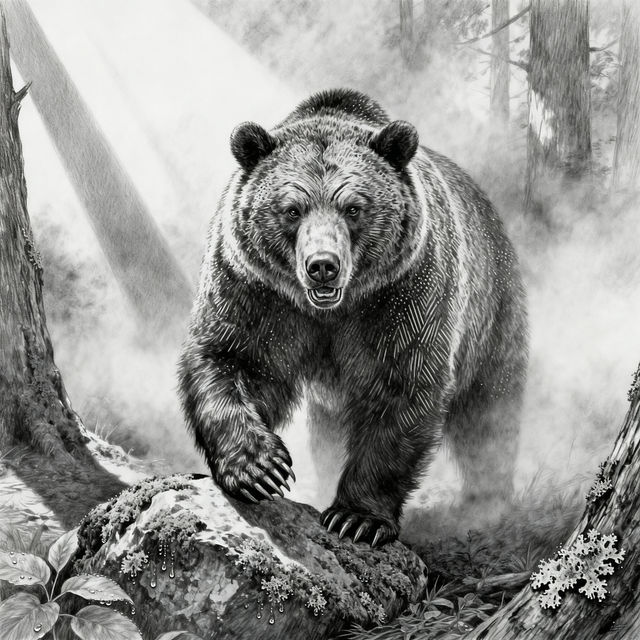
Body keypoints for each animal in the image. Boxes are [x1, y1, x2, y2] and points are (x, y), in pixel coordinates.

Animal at [178, 88, 528, 547]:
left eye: (354, 208)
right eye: (292, 209)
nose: (322, 265)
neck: (330, 310)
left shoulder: (404, 294)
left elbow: (402, 387)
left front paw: (357, 517)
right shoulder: (255, 290)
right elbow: (230, 358)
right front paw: (259, 469)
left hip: (491, 313)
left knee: (489, 415)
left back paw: (486, 502)